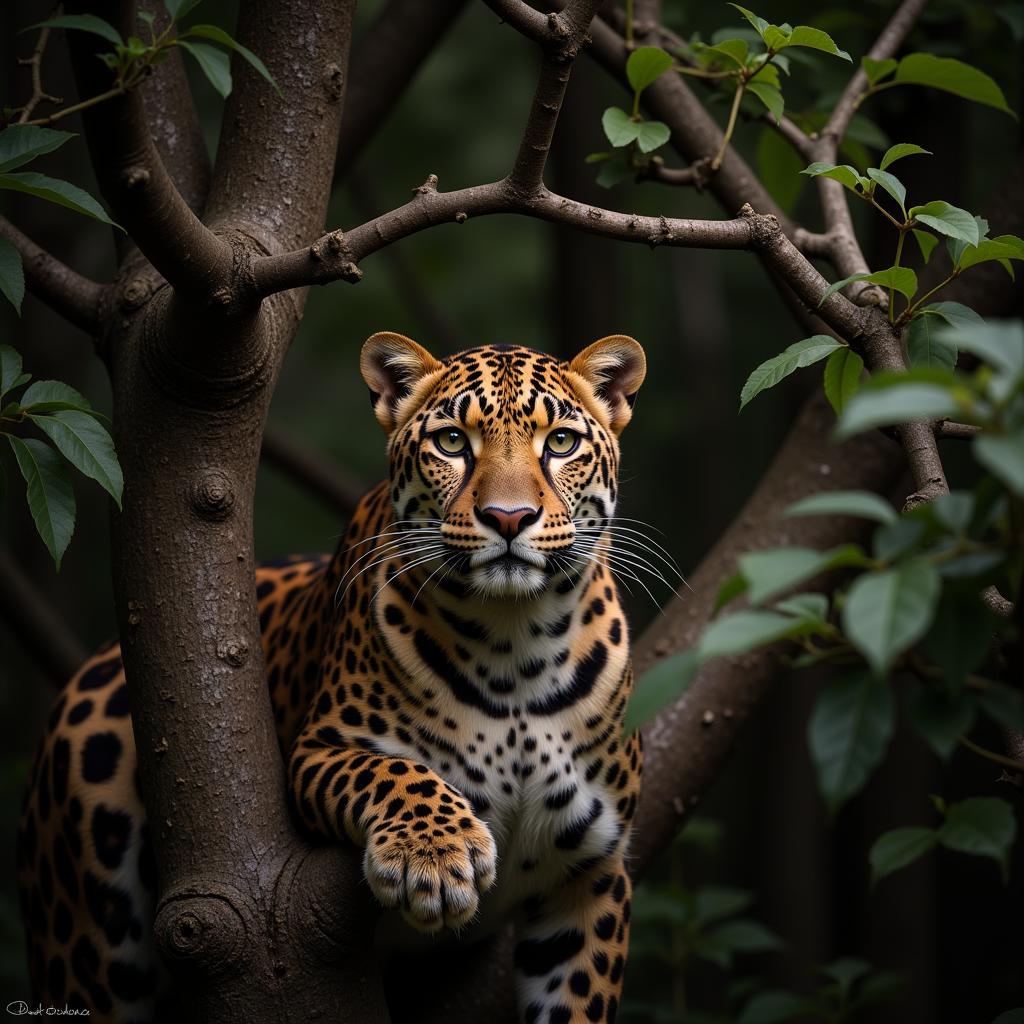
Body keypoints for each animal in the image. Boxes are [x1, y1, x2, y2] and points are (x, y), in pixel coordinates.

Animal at [18, 331, 647, 1019]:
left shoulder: (591, 875)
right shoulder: (320, 748)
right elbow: (393, 771)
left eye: (560, 443)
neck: (514, 644)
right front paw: (432, 857)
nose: (509, 518)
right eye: (453, 442)